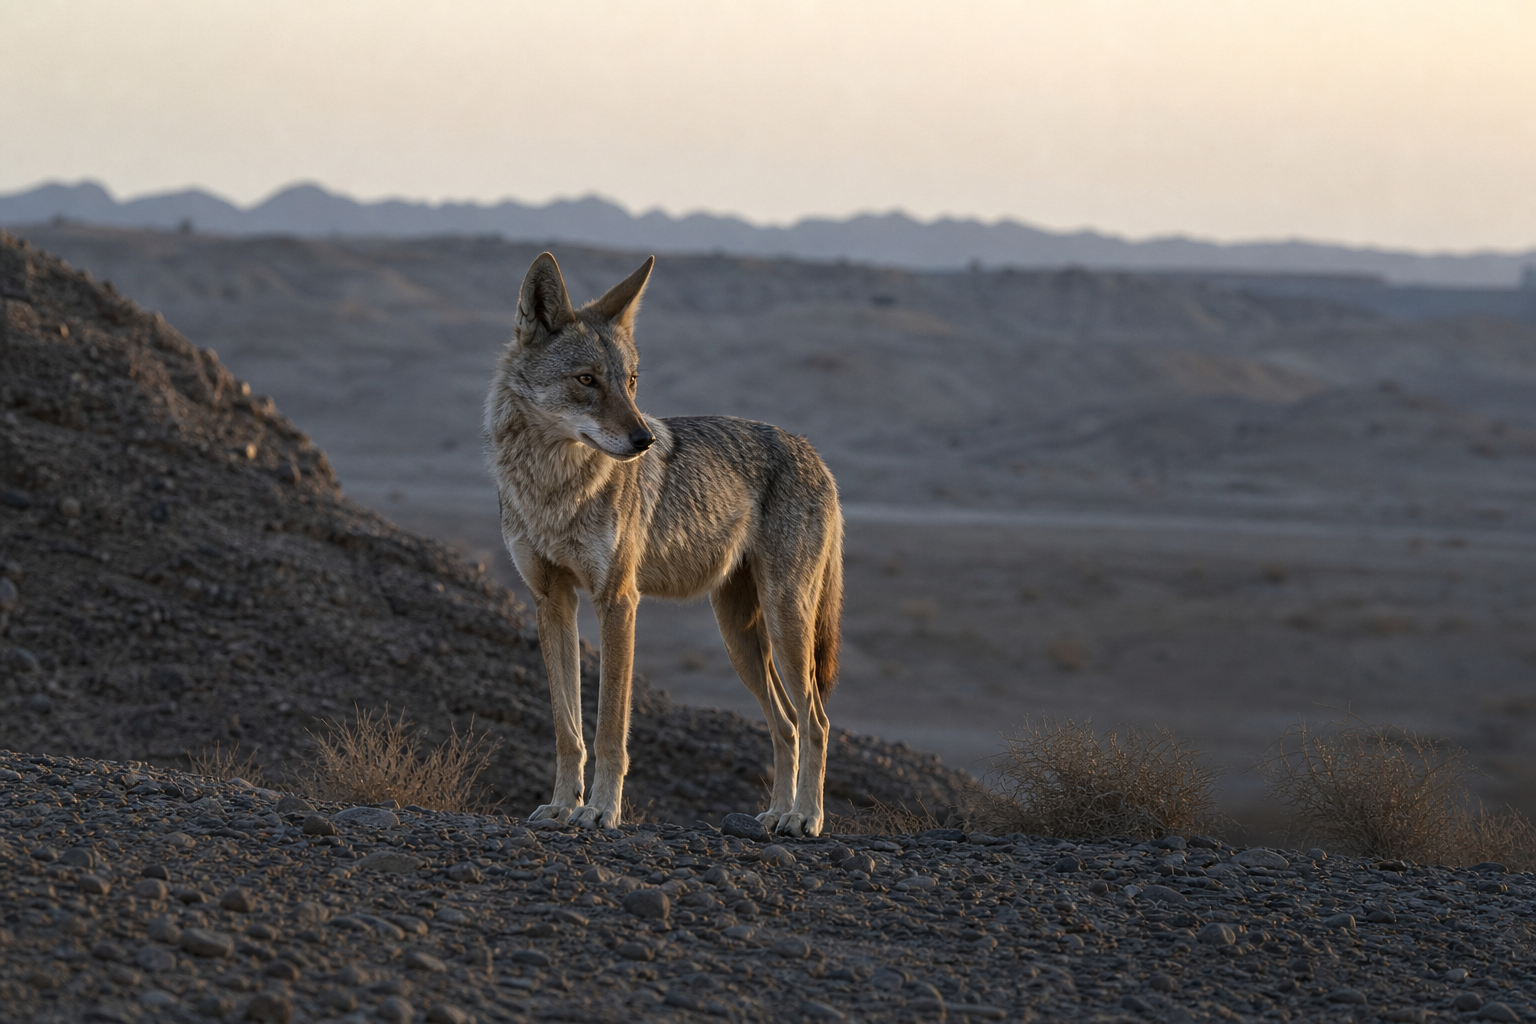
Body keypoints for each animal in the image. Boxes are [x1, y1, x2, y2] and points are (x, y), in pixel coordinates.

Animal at [484, 252, 843, 837]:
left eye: (630, 382)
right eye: (587, 380)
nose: (645, 441)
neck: (553, 489)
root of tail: (814, 454)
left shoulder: (618, 601)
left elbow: (609, 728)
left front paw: (601, 810)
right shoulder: (551, 601)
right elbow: (568, 730)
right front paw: (561, 806)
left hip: (785, 622)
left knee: (816, 720)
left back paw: (805, 817)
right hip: (740, 638)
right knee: (787, 723)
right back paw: (775, 813)